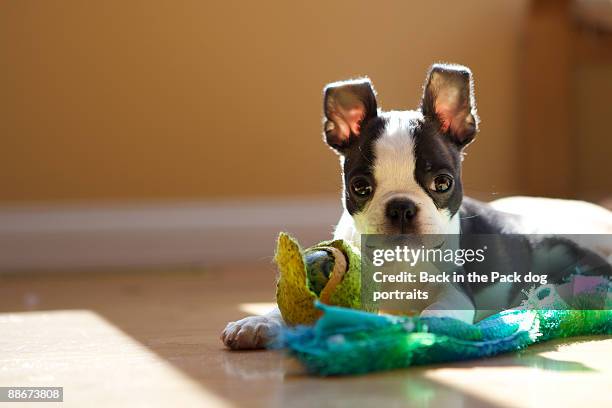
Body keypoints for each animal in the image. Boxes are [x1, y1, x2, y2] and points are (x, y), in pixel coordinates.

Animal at [221, 62, 612, 350]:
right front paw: (256, 321)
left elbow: (440, 308)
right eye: (360, 187)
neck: (399, 262)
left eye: (442, 183)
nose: (401, 208)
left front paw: (425, 325)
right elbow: (284, 307)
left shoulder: (455, 292)